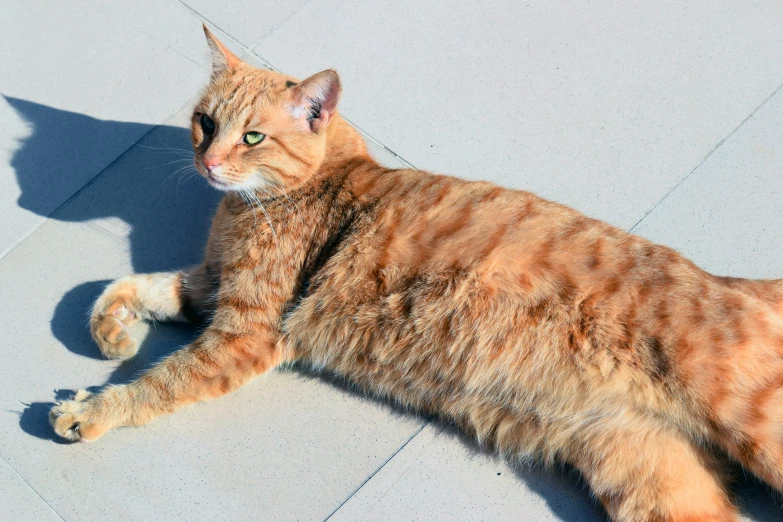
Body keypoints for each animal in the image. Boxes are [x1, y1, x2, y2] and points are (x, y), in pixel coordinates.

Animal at [49, 26, 783, 516]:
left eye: (251, 137)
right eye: (203, 122)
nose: (208, 162)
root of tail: (735, 282)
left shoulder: (245, 330)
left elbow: (161, 382)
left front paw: (96, 409)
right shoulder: (211, 286)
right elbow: (120, 288)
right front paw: (113, 333)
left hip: (754, 427)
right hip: (647, 474)